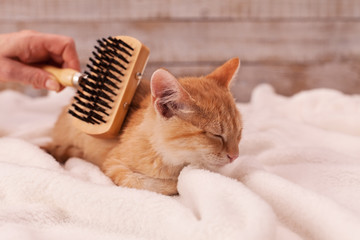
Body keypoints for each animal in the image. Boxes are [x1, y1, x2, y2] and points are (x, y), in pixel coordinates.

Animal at [45, 57, 242, 195]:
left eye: (239, 133)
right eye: (216, 135)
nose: (235, 156)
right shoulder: (113, 164)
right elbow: (143, 182)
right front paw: (174, 183)